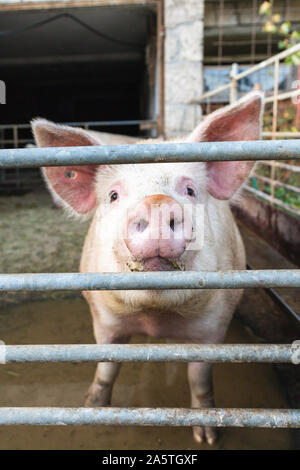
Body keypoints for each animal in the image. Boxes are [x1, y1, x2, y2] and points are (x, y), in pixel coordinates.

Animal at [31, 91, 264, 444]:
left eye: (190, 190)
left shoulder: (215, 323)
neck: (155, 315)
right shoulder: (103, 317)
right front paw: (92, 410)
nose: (157, 204)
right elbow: (107, 366)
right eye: (113, 195)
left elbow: (199, 378)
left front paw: (207, 437)